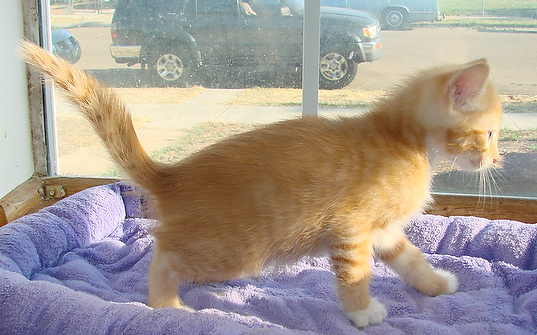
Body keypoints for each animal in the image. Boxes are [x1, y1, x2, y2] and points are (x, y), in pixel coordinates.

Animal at [19, 42, 498, 328]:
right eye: (492, 132)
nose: (498, 158)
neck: (404, 139)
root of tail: (173, 176)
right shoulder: (351, 227)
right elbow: (354, 272)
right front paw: (362, 311)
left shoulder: (382, 230)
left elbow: (410, 258)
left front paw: (435, 283)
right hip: (235, 249)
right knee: (164, 252)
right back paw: (165, 306)